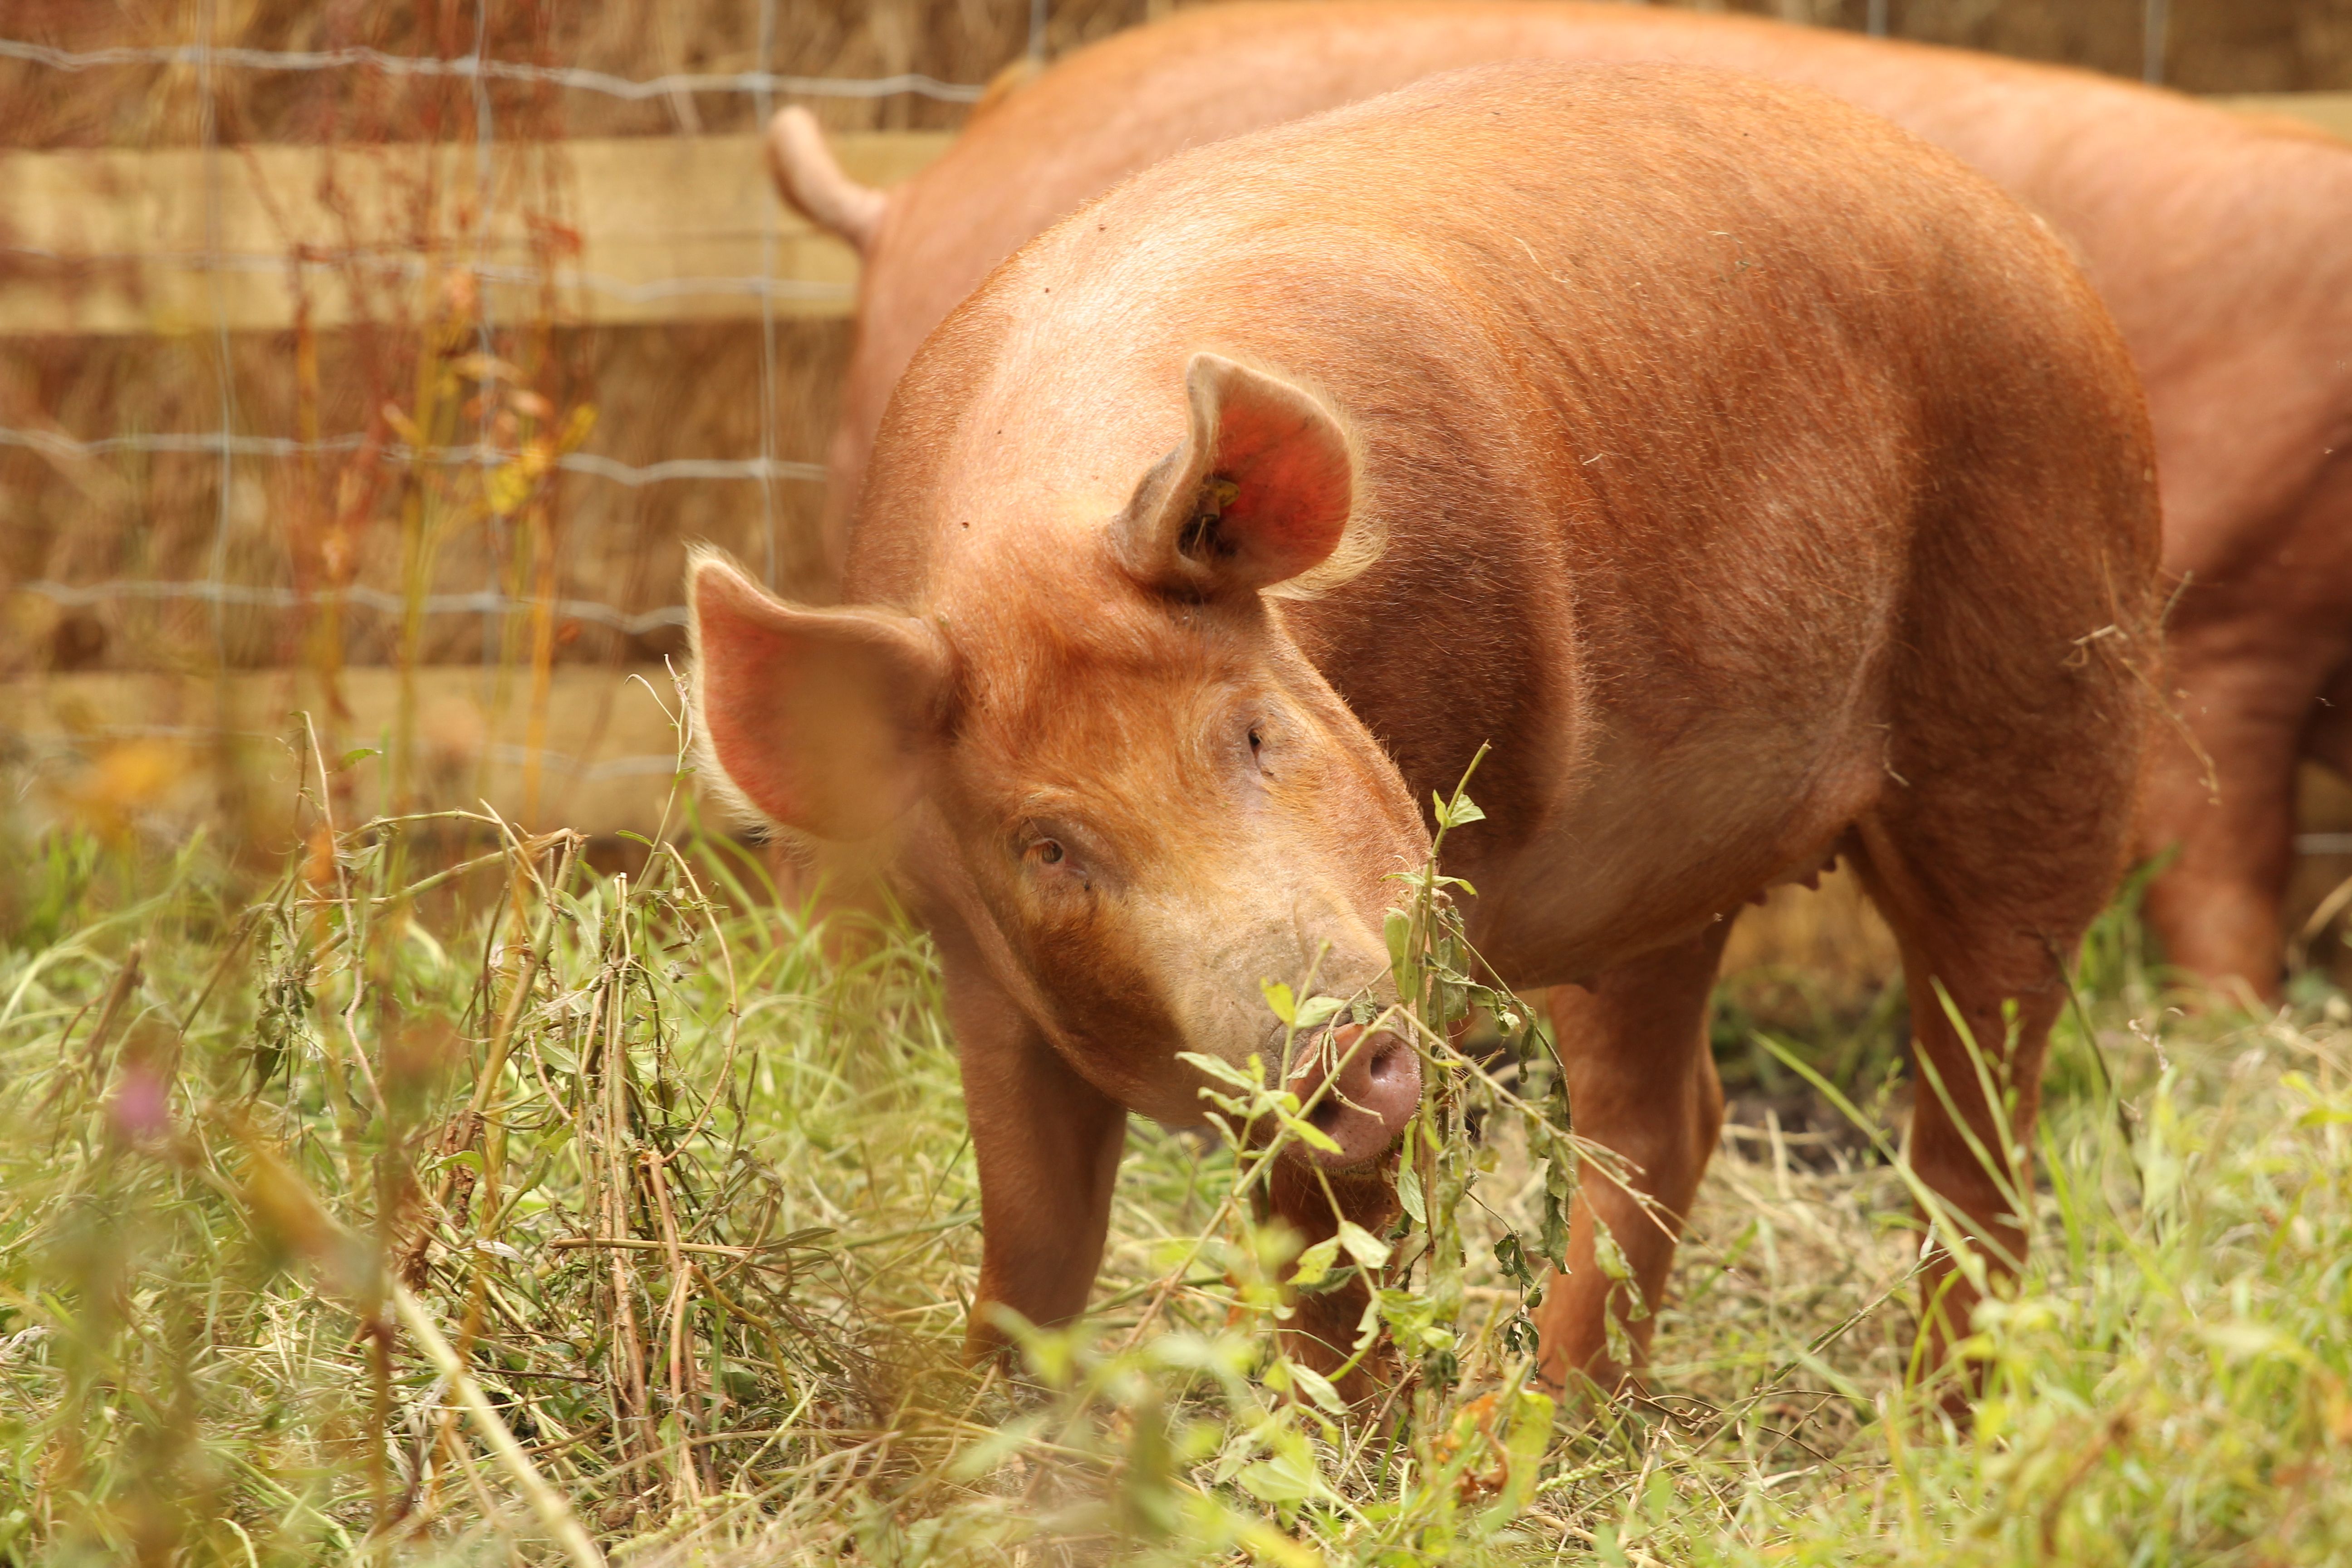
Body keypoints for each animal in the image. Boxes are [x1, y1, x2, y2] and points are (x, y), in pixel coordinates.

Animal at [700, 61, 2159, 1395]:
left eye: (1255, 733)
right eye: (1046, 844)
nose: (1328, 1048)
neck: (1032, 533)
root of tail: (2047, 255)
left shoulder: (1418, 910)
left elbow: (1334, 1268)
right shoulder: (977, 956)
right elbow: (1030, 1249)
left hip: (2043, 713)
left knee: (1978, 1128)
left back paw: (1940, 1425)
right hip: (1663, 850)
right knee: (1664, 1120)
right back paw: (1537, 1432)